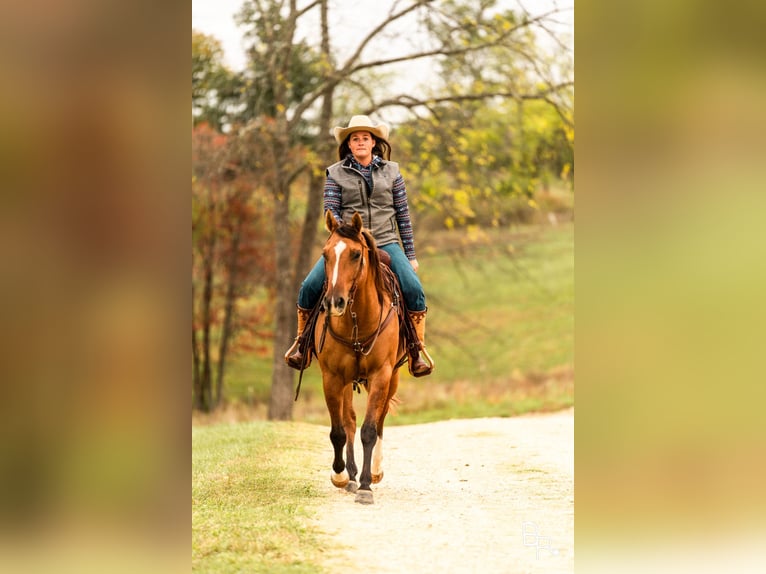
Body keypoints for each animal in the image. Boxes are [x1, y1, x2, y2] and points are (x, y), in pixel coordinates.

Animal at [314, 210, 404, 504]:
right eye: (325, 254)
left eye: (355, 254)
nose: (335, 302)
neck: (358, 322)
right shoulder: (332, 377)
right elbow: (339, 430)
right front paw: (341, 475)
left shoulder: (381, 375)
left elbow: (370, 430)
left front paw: (366, 485)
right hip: (345, 383)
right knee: (349, 421)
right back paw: (351, 475)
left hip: (392, 379)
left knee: (381, 421)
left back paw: (374, 472)